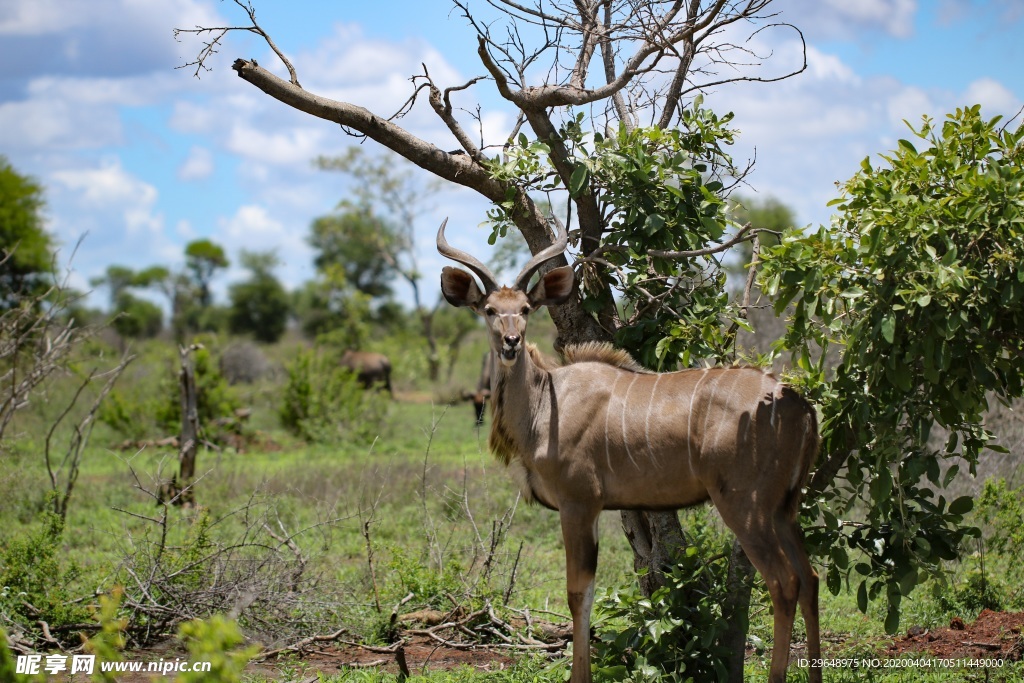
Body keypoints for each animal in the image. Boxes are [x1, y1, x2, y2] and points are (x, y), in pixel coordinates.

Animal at [436, 219, 819, 683]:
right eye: (489, 309)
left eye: (526, 308)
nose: (511, 342)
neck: (546, 401)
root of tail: (797, 402)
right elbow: (586, 592)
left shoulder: (579, 502)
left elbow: (578, 593)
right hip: (784, 509)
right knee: (810, 579)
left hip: (747, 507)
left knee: (784, 583)